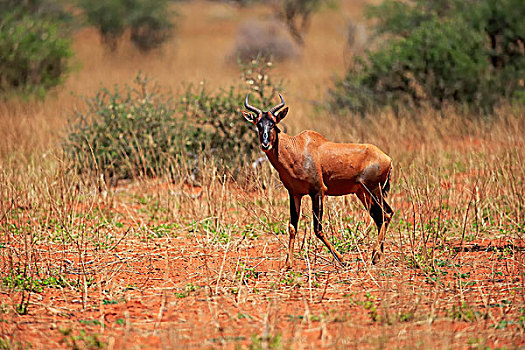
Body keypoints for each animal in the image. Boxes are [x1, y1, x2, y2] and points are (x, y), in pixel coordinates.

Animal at [242, 93, 392, 268]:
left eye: (273, 123)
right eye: (258, 124)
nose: (265, 145)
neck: (298, 148)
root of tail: (387, 158)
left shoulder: (318, 192)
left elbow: (318, 229)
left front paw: (342, 260)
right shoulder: (294, 194)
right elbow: (292, 226)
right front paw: (287, 264)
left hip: (374, 190)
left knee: (387, 214)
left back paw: (375, 255)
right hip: (362, 193)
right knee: (379, 217)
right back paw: (378, 256)